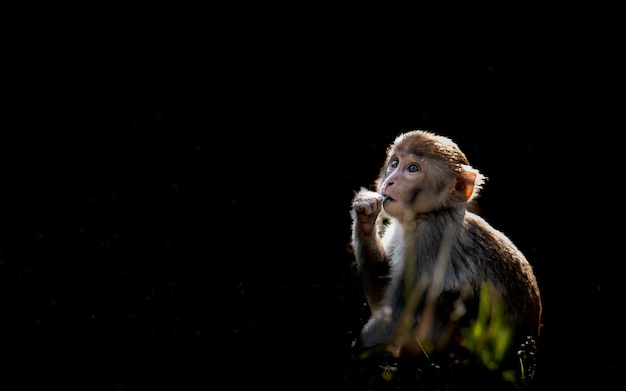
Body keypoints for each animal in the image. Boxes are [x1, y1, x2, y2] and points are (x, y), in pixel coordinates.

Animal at [348, 130, 540, 372]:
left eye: (413, 168)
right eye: (395, 163)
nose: (389, 181)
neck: (429, 214)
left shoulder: (429, 238)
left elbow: (397, 317)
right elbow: (381, 297)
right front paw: (365, 214)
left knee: (448, 300)